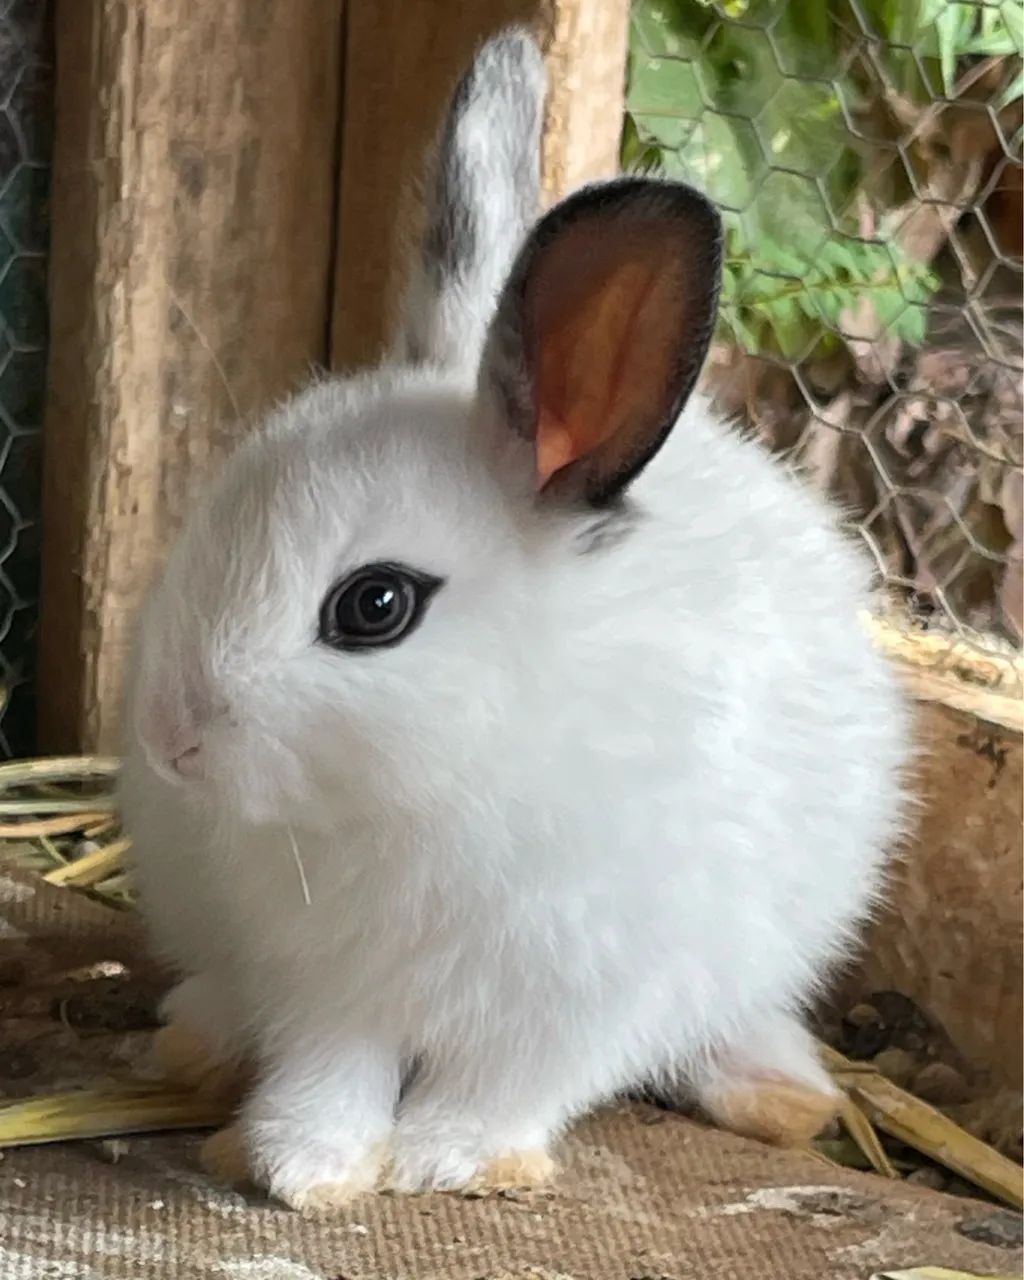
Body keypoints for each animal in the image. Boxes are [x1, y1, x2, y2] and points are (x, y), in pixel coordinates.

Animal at [119, 27, 911, 1211]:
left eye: (376, 606)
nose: (172, 738)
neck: (444, 777)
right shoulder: (321, 977)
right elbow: (327, 1066)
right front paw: (307, 1164)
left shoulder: (584, 996)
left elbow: (513, 1083)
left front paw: (449, 1156)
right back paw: (194, 1042)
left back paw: (775, 1088)